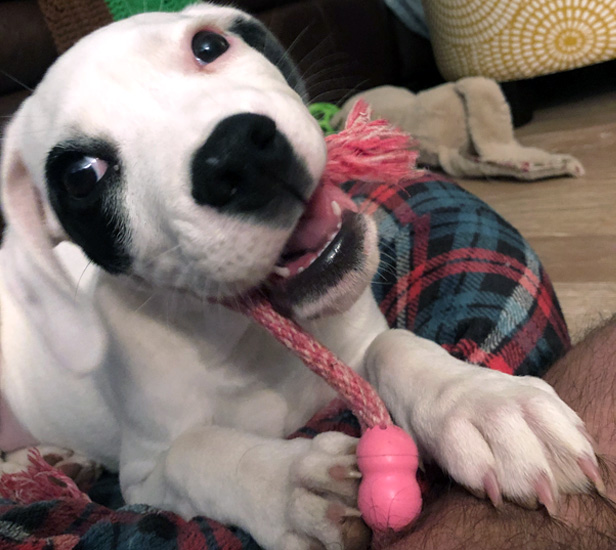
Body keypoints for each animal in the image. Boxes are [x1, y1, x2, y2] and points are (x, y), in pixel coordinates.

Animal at [0, 4, 600, 550]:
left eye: (209, 46)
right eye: (81, 177)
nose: (237, 154)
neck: (247, 339)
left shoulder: (357, 342)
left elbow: (397, 347)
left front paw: (483, 403)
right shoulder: (143, 475)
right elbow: (197, 453)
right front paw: (294, 488)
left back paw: (58, 460)